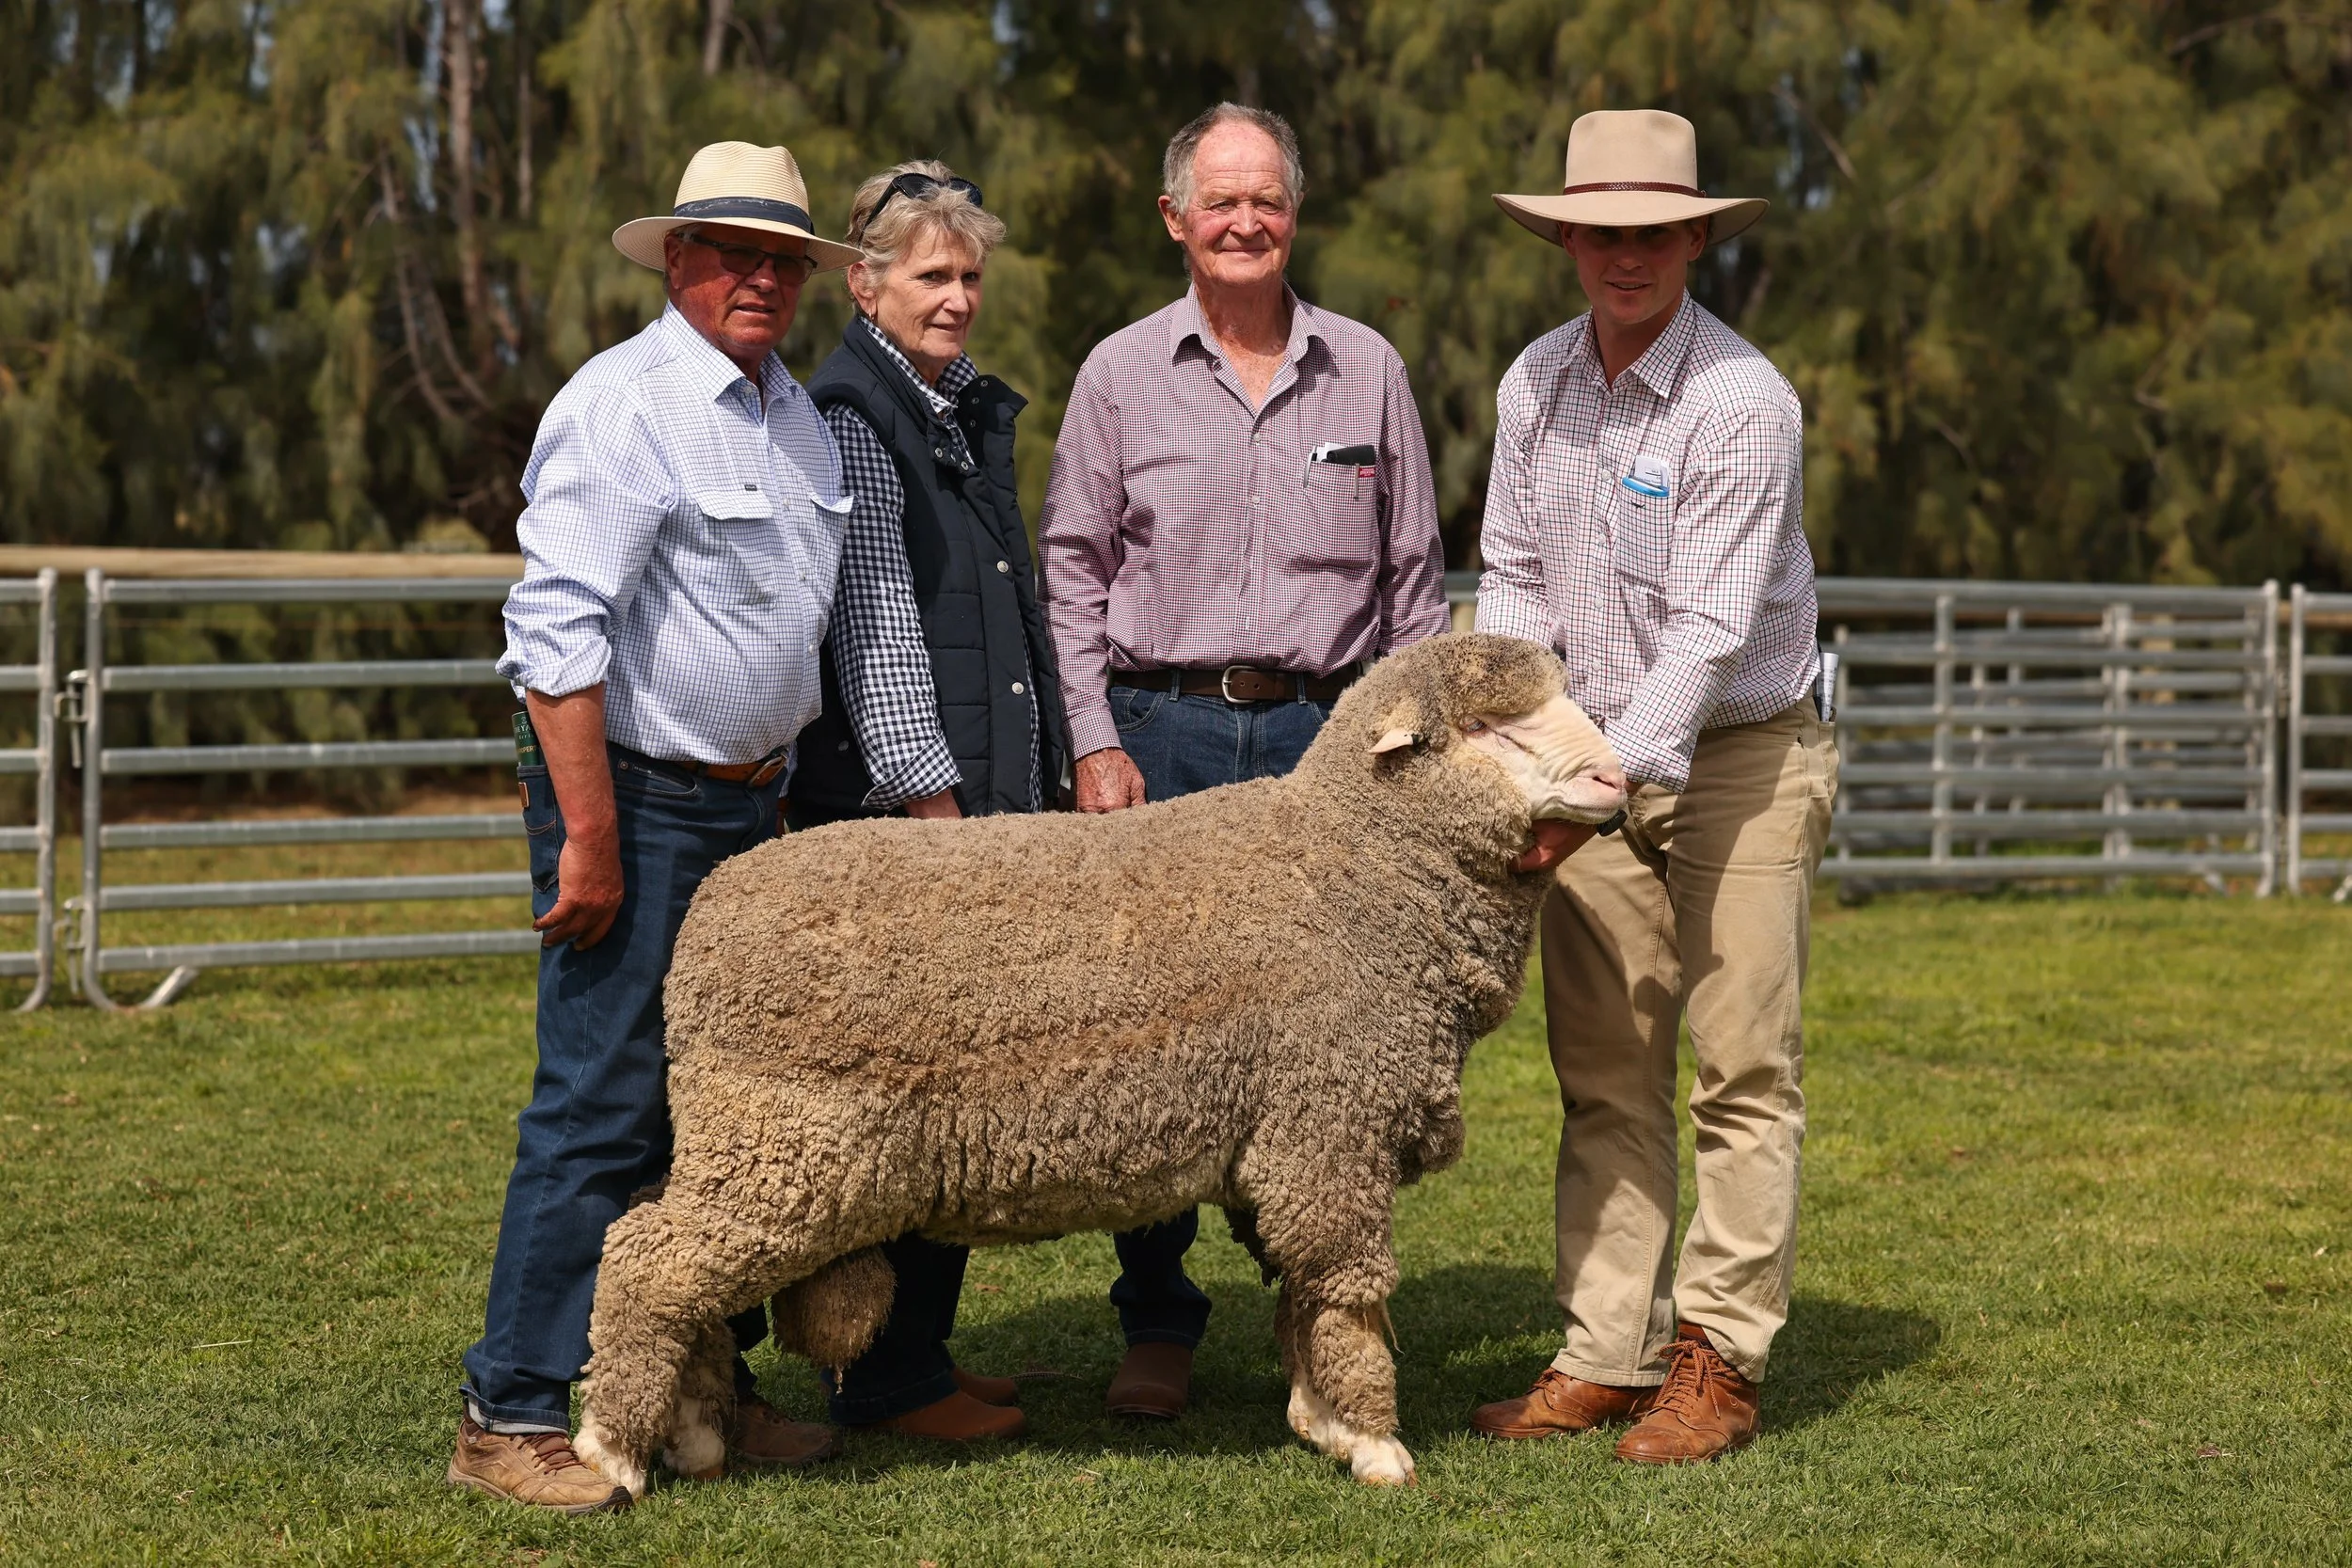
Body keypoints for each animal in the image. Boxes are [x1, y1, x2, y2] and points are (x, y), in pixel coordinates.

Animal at [573, 633, 1627, 1493]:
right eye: (1488, 728)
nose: (1618, 783)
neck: (1354, 870)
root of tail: (714, 903)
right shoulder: (1330, 1123)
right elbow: (1345, 1290)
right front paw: (1372, 1441)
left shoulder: (1289, 1138)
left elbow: (1299, 1292)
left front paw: (1318, 1418)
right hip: (784, 1147)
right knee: (648, 1260)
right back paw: (610, 1449)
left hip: (747, 1145)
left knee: (672, 1258)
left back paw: (692, 1433)